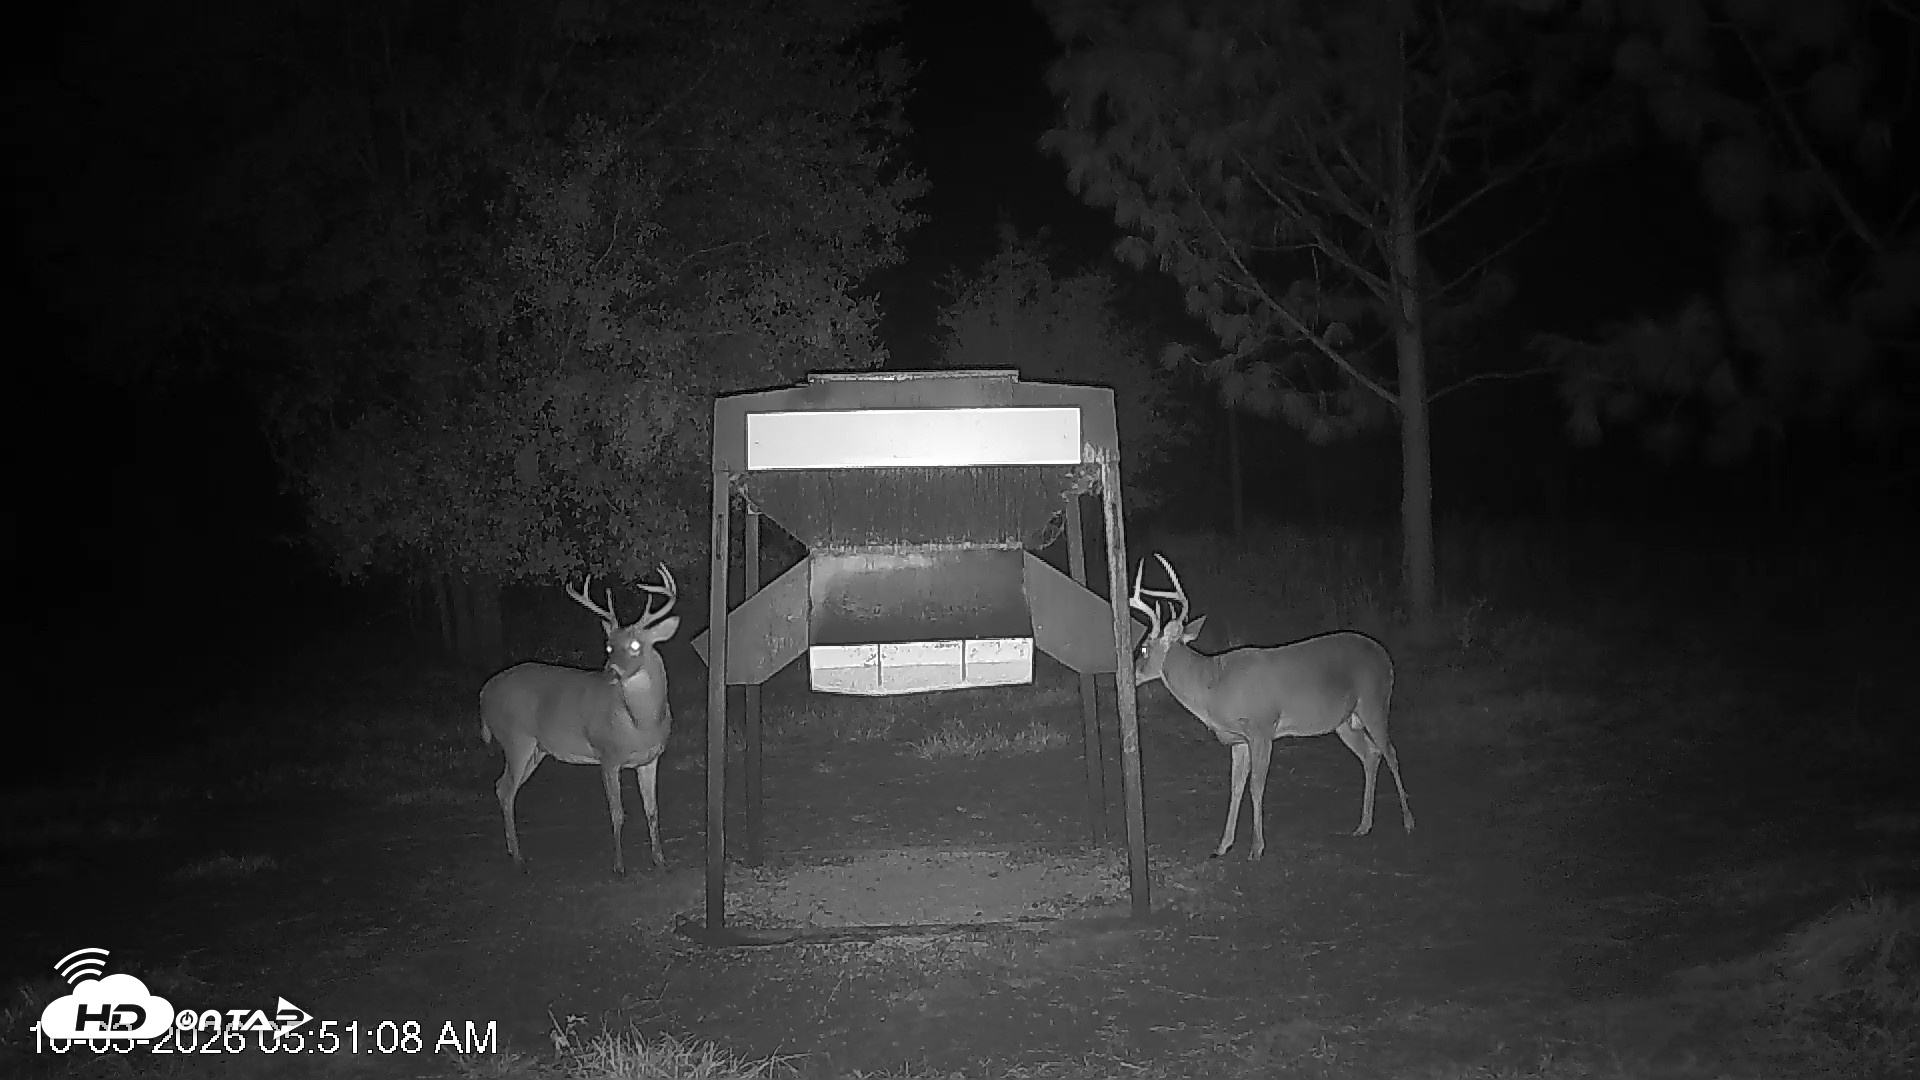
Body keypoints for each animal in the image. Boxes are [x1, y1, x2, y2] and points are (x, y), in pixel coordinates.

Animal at [479, 564, 679, 876]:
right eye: (609, 646)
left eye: (636, 645)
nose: (610, 672)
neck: (640, 724)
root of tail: (483, 693)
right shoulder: (607, 754)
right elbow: (617, 812)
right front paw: (619, 867)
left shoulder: (650, 759)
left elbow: (652, 810)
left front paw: (661, 860)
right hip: (515, 738)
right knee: (506, 789)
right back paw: (518, 858)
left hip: (536, 749)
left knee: (503, 788)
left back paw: (514, 852)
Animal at [1129, 554, 1414, 858]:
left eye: (1143, 648)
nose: (1129, 674)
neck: (1213, 686)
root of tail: (1386, 657)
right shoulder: (1239, 739)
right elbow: (1236, 788)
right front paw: (1222, 845)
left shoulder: (1262, 727)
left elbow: (1256, 787)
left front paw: (1256, 848)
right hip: (1344, 722)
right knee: (1371, 754)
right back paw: (1363, 825)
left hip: (1375, 702)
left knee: (1391, 752)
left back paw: (1408, 821)